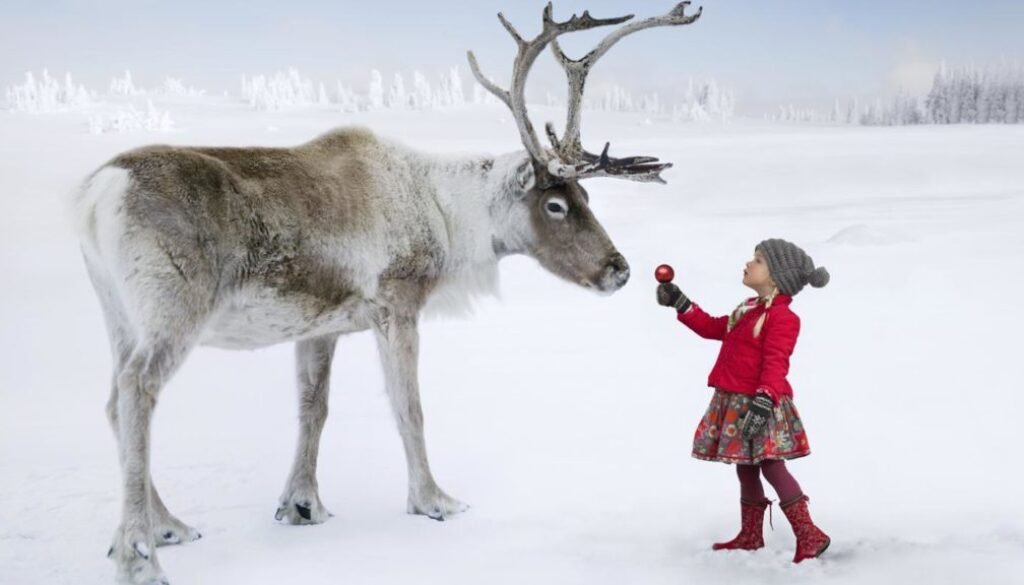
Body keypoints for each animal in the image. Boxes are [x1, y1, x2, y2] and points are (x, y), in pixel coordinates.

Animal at [73, 3, 701, 583]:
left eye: (588, 198)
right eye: (555, 205)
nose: (620, 269)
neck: (447, 218)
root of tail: (97, 192)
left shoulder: (320, 325)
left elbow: (314, 408)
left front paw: (302, 504)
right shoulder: (398, 304)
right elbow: (409, 406)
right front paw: (434, 500)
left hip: (117, 312)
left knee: (112, 398)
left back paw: (167, 526)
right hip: (173, 310)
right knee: (138, 390)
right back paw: (140, 555)